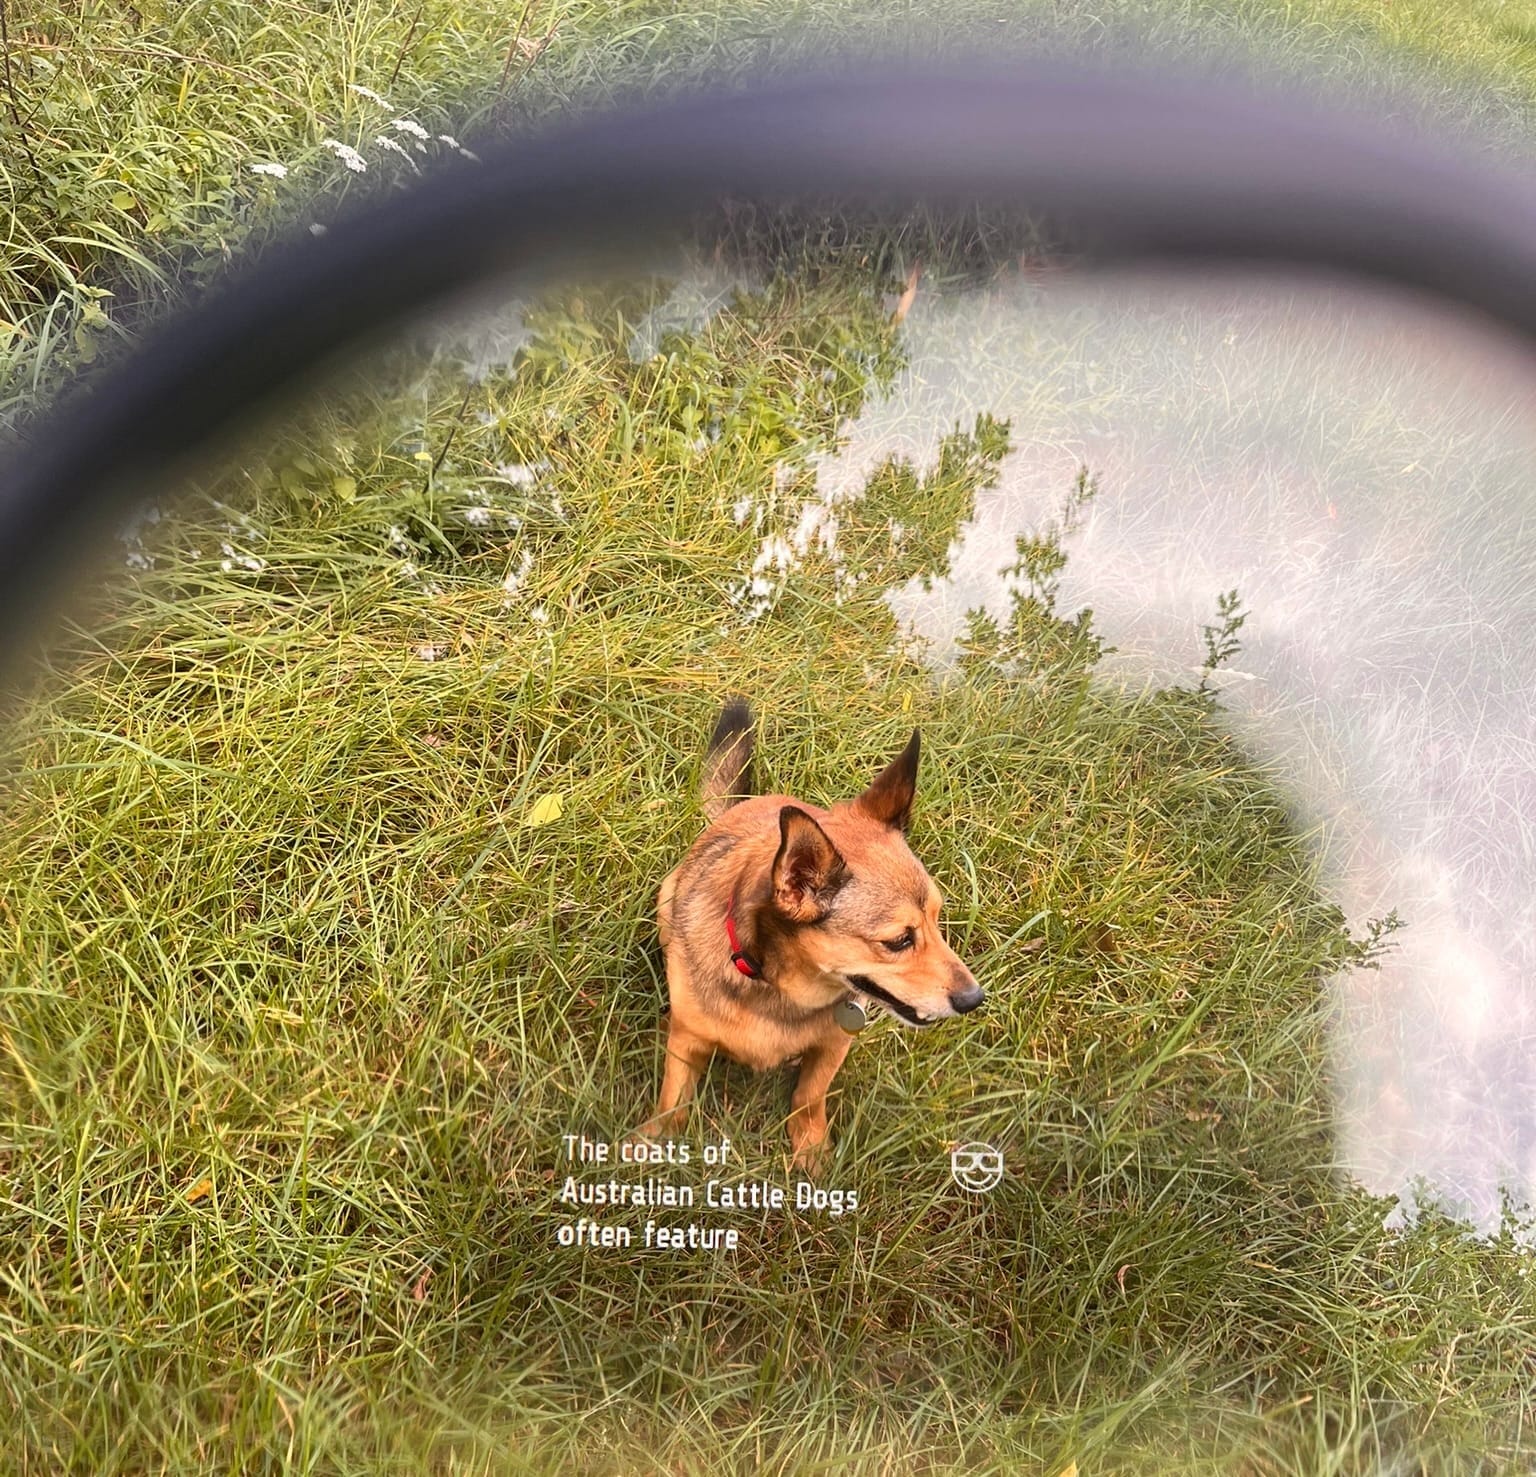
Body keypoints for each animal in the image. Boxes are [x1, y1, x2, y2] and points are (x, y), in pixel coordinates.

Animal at [636, 698, 983, 1167]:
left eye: (938, 918)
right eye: (898, 941)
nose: (975, 999)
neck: (777, 985)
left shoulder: (834, 1044)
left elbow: (809, 1096)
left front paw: (811, 1149)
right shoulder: (688, 1046)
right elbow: (673, 1101)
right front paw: (653, 1142)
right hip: (666, 899)